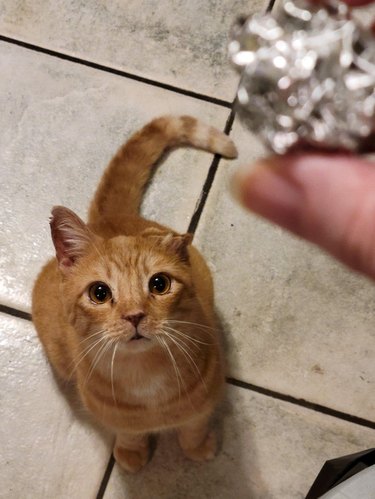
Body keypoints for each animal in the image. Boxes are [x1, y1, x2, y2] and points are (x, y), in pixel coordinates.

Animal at [32, 116, 238, 472]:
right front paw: (132, 451)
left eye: (159, 285)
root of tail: (107, 218)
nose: (134, 315)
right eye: (99, 292)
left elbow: (194, 426)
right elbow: (128, 433)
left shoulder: (207, 397)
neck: (146, 378)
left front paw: (197, 447)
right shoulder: (113, 415)